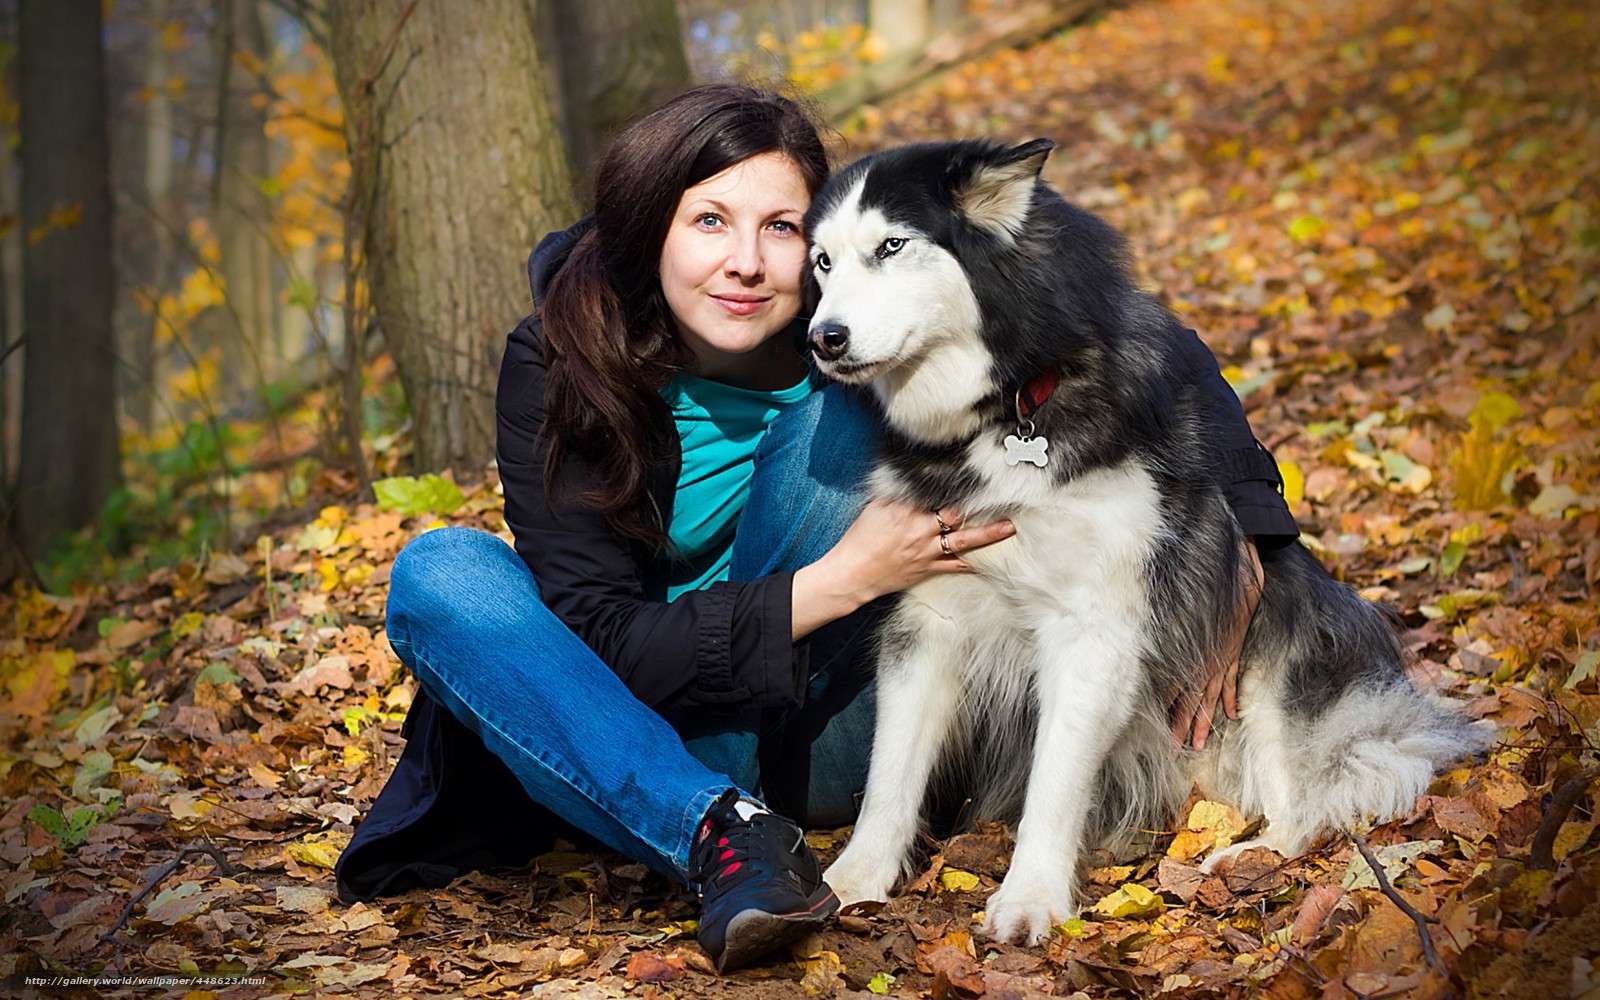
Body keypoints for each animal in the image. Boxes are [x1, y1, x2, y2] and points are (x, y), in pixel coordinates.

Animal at [806, 136, 1491, 940]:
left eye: (892, 245)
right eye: (821, 262)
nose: (823, 339)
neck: (1007, 415)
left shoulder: (1096, 629)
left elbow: (1054, 782)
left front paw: (1029, 898)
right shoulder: (931, 614)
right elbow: (890, 776)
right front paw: (850, 881)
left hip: (1271, 641)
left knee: (1308, 807)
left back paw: (1245, 858)